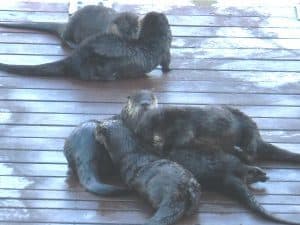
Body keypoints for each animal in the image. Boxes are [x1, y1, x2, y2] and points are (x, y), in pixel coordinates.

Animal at [0, 4, 140, 48]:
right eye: (125, 30)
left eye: (136, 29)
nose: (133, 36)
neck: (108, 26)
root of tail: (66, 24)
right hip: (72, 26)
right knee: (63, 37)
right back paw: (72, 44)